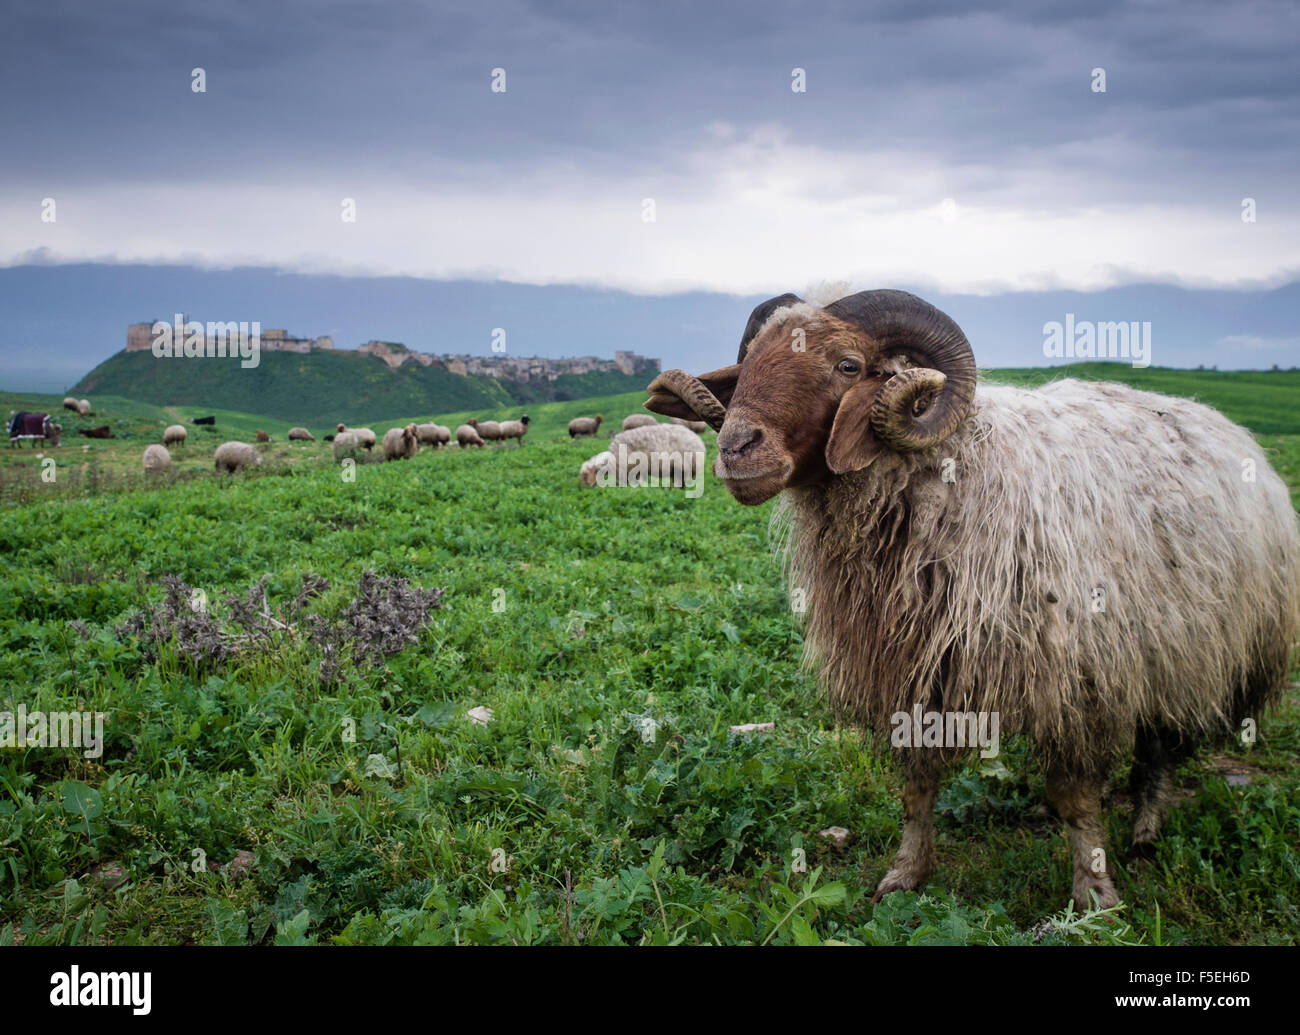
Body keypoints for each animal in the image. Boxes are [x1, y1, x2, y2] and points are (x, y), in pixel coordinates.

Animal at [650, 287, 1300, 910]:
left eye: (848, 365)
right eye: (747, 363)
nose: (737, 448)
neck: (949, 476)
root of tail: (1220, 421)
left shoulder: (1075, 678)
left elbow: (1075, 798)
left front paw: (1094, 894)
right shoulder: (911, 667)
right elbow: (916, 786)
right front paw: (905, 875)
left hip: (1194, 644)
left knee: (1160, 745)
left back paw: (1144, 828)